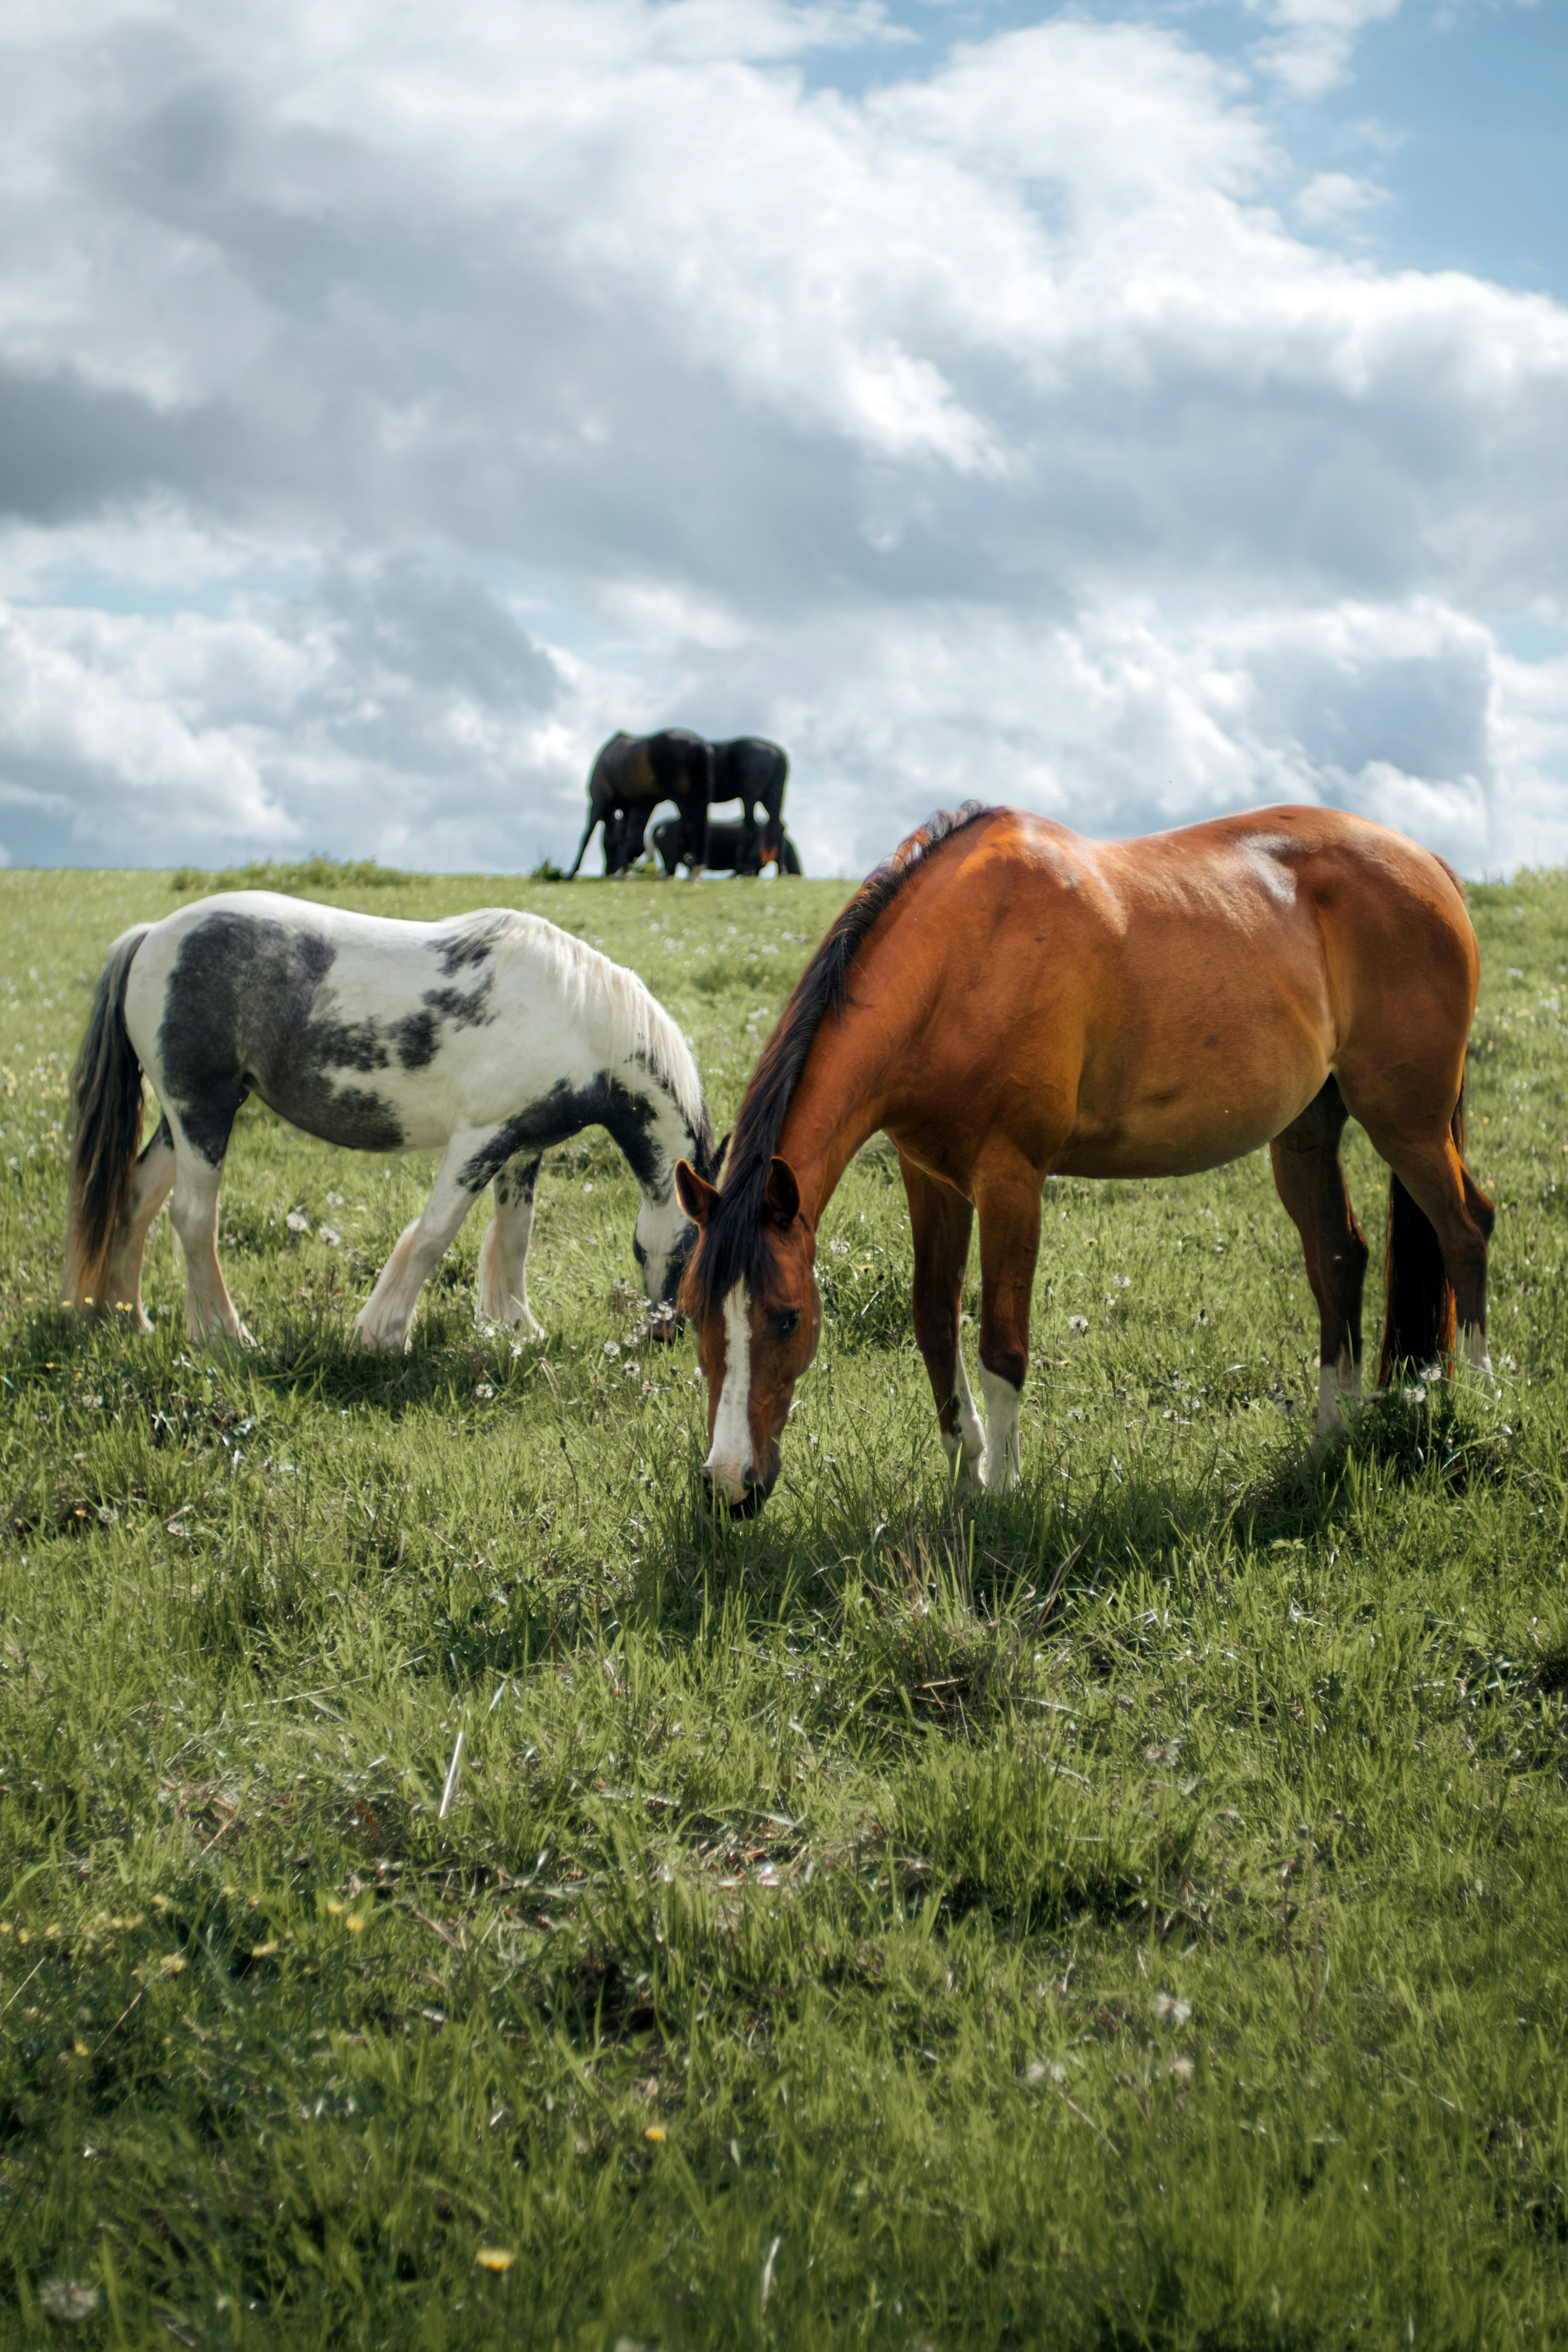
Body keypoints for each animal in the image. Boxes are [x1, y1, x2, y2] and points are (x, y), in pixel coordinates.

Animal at [60, 894, 718, 1350]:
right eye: (695, 1250)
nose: (668, 1335)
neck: (577, 1018)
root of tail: (151, 936)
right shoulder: (480, 1139)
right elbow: (433, 1234)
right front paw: (382, 1335)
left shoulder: (523, 1149)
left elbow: (514, 1237)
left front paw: (514, 1326)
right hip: (203, 1111)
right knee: (193, 1219)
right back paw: (224, 1338)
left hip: (182, 1119)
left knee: (137, 1199)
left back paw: (129, 1319)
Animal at [567, 730, 713, 878]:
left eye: (605, 844)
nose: (609, 871)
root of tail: (698, 745)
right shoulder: (626, 807)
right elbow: (623, 836)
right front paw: (623, 870)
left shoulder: (598, 804)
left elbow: (587, 837)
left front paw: (572, 873)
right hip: (699, 796)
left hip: (682, 799)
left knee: (688, 827)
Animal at [674, 802, 1494, 1513]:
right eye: (691, 1312)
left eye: (786, 1318)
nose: (729, 1484)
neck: (962, 959)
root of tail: (1429, 864)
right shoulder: (930, 1178)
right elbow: (934, 1324)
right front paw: (964, 1477)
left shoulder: (1010, 1177)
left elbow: (1001, 1346)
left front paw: (1001, 1496)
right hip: (1305, 1132)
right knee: (1338, 1259)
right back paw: (1331, 1439)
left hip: (1407, 1122)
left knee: (1465, 1229)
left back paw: (1483, 1403)